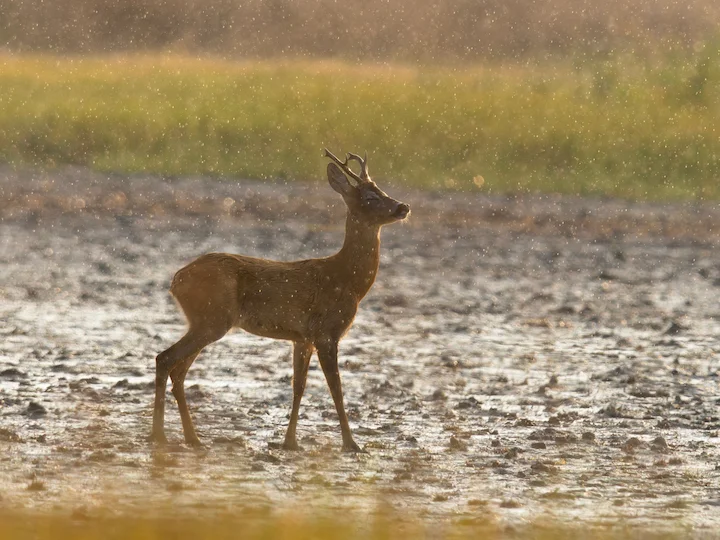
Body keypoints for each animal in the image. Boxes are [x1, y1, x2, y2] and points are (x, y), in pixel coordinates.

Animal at [151, 149, 410, 452]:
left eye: (381, 189)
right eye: (370, 197)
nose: (403, 207)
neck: (348, 281)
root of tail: (176, 280)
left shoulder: (302, 337)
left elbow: (299, 386)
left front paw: (290, 441)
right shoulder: (326, 331)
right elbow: (336, 388)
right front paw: (351, 443)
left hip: (204, 321)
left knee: (178, 370)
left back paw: (192, 437)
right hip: (212, 319)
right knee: (165, 359)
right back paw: (159, 435)